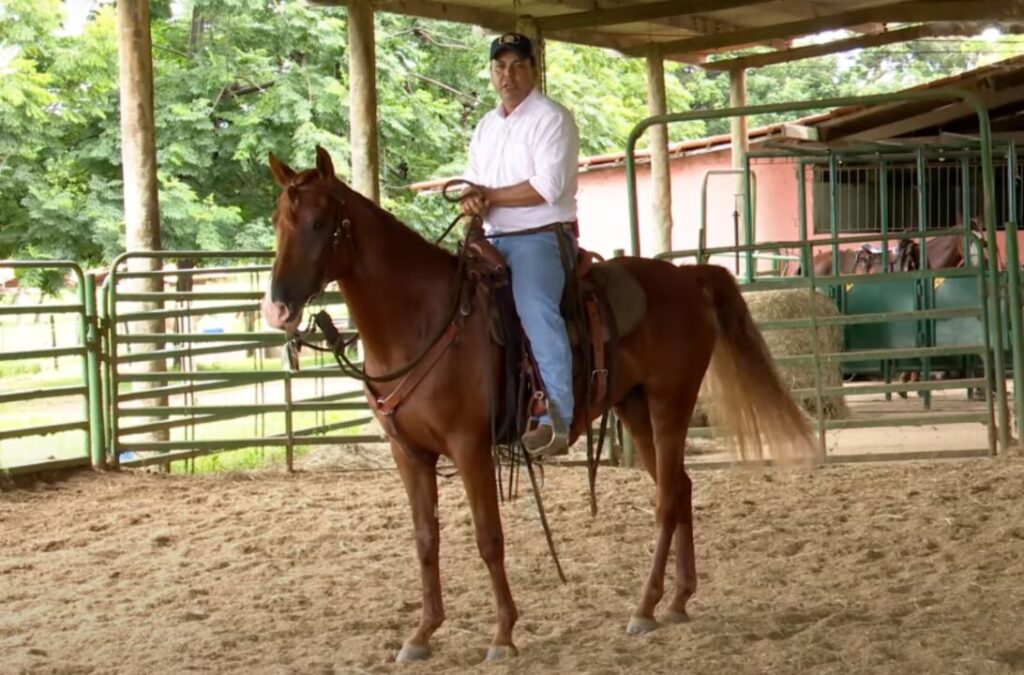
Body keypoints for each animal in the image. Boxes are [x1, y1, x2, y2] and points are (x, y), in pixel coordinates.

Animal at [260, 147, 816, 662]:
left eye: (318, 222)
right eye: (277, 222)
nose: (278, 308)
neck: (421, 318)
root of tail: (686, 277)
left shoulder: (469, 447)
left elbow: (489, 537)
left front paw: (503, 635)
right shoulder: (409, 454)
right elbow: (425, 539)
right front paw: (421, 634)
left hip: (670, 402)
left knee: (665, 499)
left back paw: (644, 607)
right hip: (634, 407)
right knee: (678, 487)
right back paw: (676, 600)